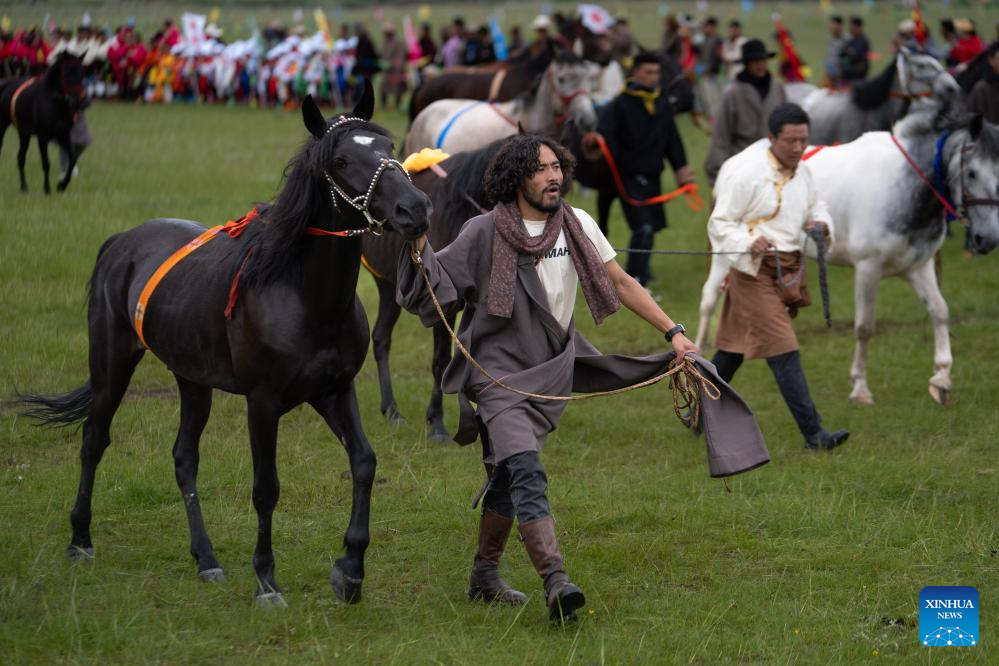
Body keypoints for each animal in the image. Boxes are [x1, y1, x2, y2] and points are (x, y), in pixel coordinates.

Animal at [0, 52, 86, 193]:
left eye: (82, 73)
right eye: (67, 72)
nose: (76, 101)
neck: (56, 103)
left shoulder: (63, 135)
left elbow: (73, 158)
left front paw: (62, 185)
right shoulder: (43, 137)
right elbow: (46, 163)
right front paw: (47, 189)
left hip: (24, 133)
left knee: (20, 158)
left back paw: (24, 187)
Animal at [20, 84, 430, 608]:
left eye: (389, 146)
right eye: (341, 160)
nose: (414, 209)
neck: (303, 295)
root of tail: (121, 241)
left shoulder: (334, 391)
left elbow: (364, 463)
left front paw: (350, 569)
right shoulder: (263, 403)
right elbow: (266, 488)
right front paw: (266, 581)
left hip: (192, 380)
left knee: (183, 458)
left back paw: (206, 558)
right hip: (112, 364)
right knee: (94, 439)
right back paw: (80, 539)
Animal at [360, 139, 504, 440]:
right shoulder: (442, 304)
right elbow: (441, 360)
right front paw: (436, 423)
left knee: (381, 337)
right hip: (387, 284)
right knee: (381, 339)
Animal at [696, 110, 999, 404]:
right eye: (972, 173)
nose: (987, 239)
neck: (905, 188)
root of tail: (732, 164)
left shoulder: (919, 267)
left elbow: (940, 312)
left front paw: (941, 380)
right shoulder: (868, 268)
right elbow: (864, 327)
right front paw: (860, 387)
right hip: (725, 255)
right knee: (709, 300)